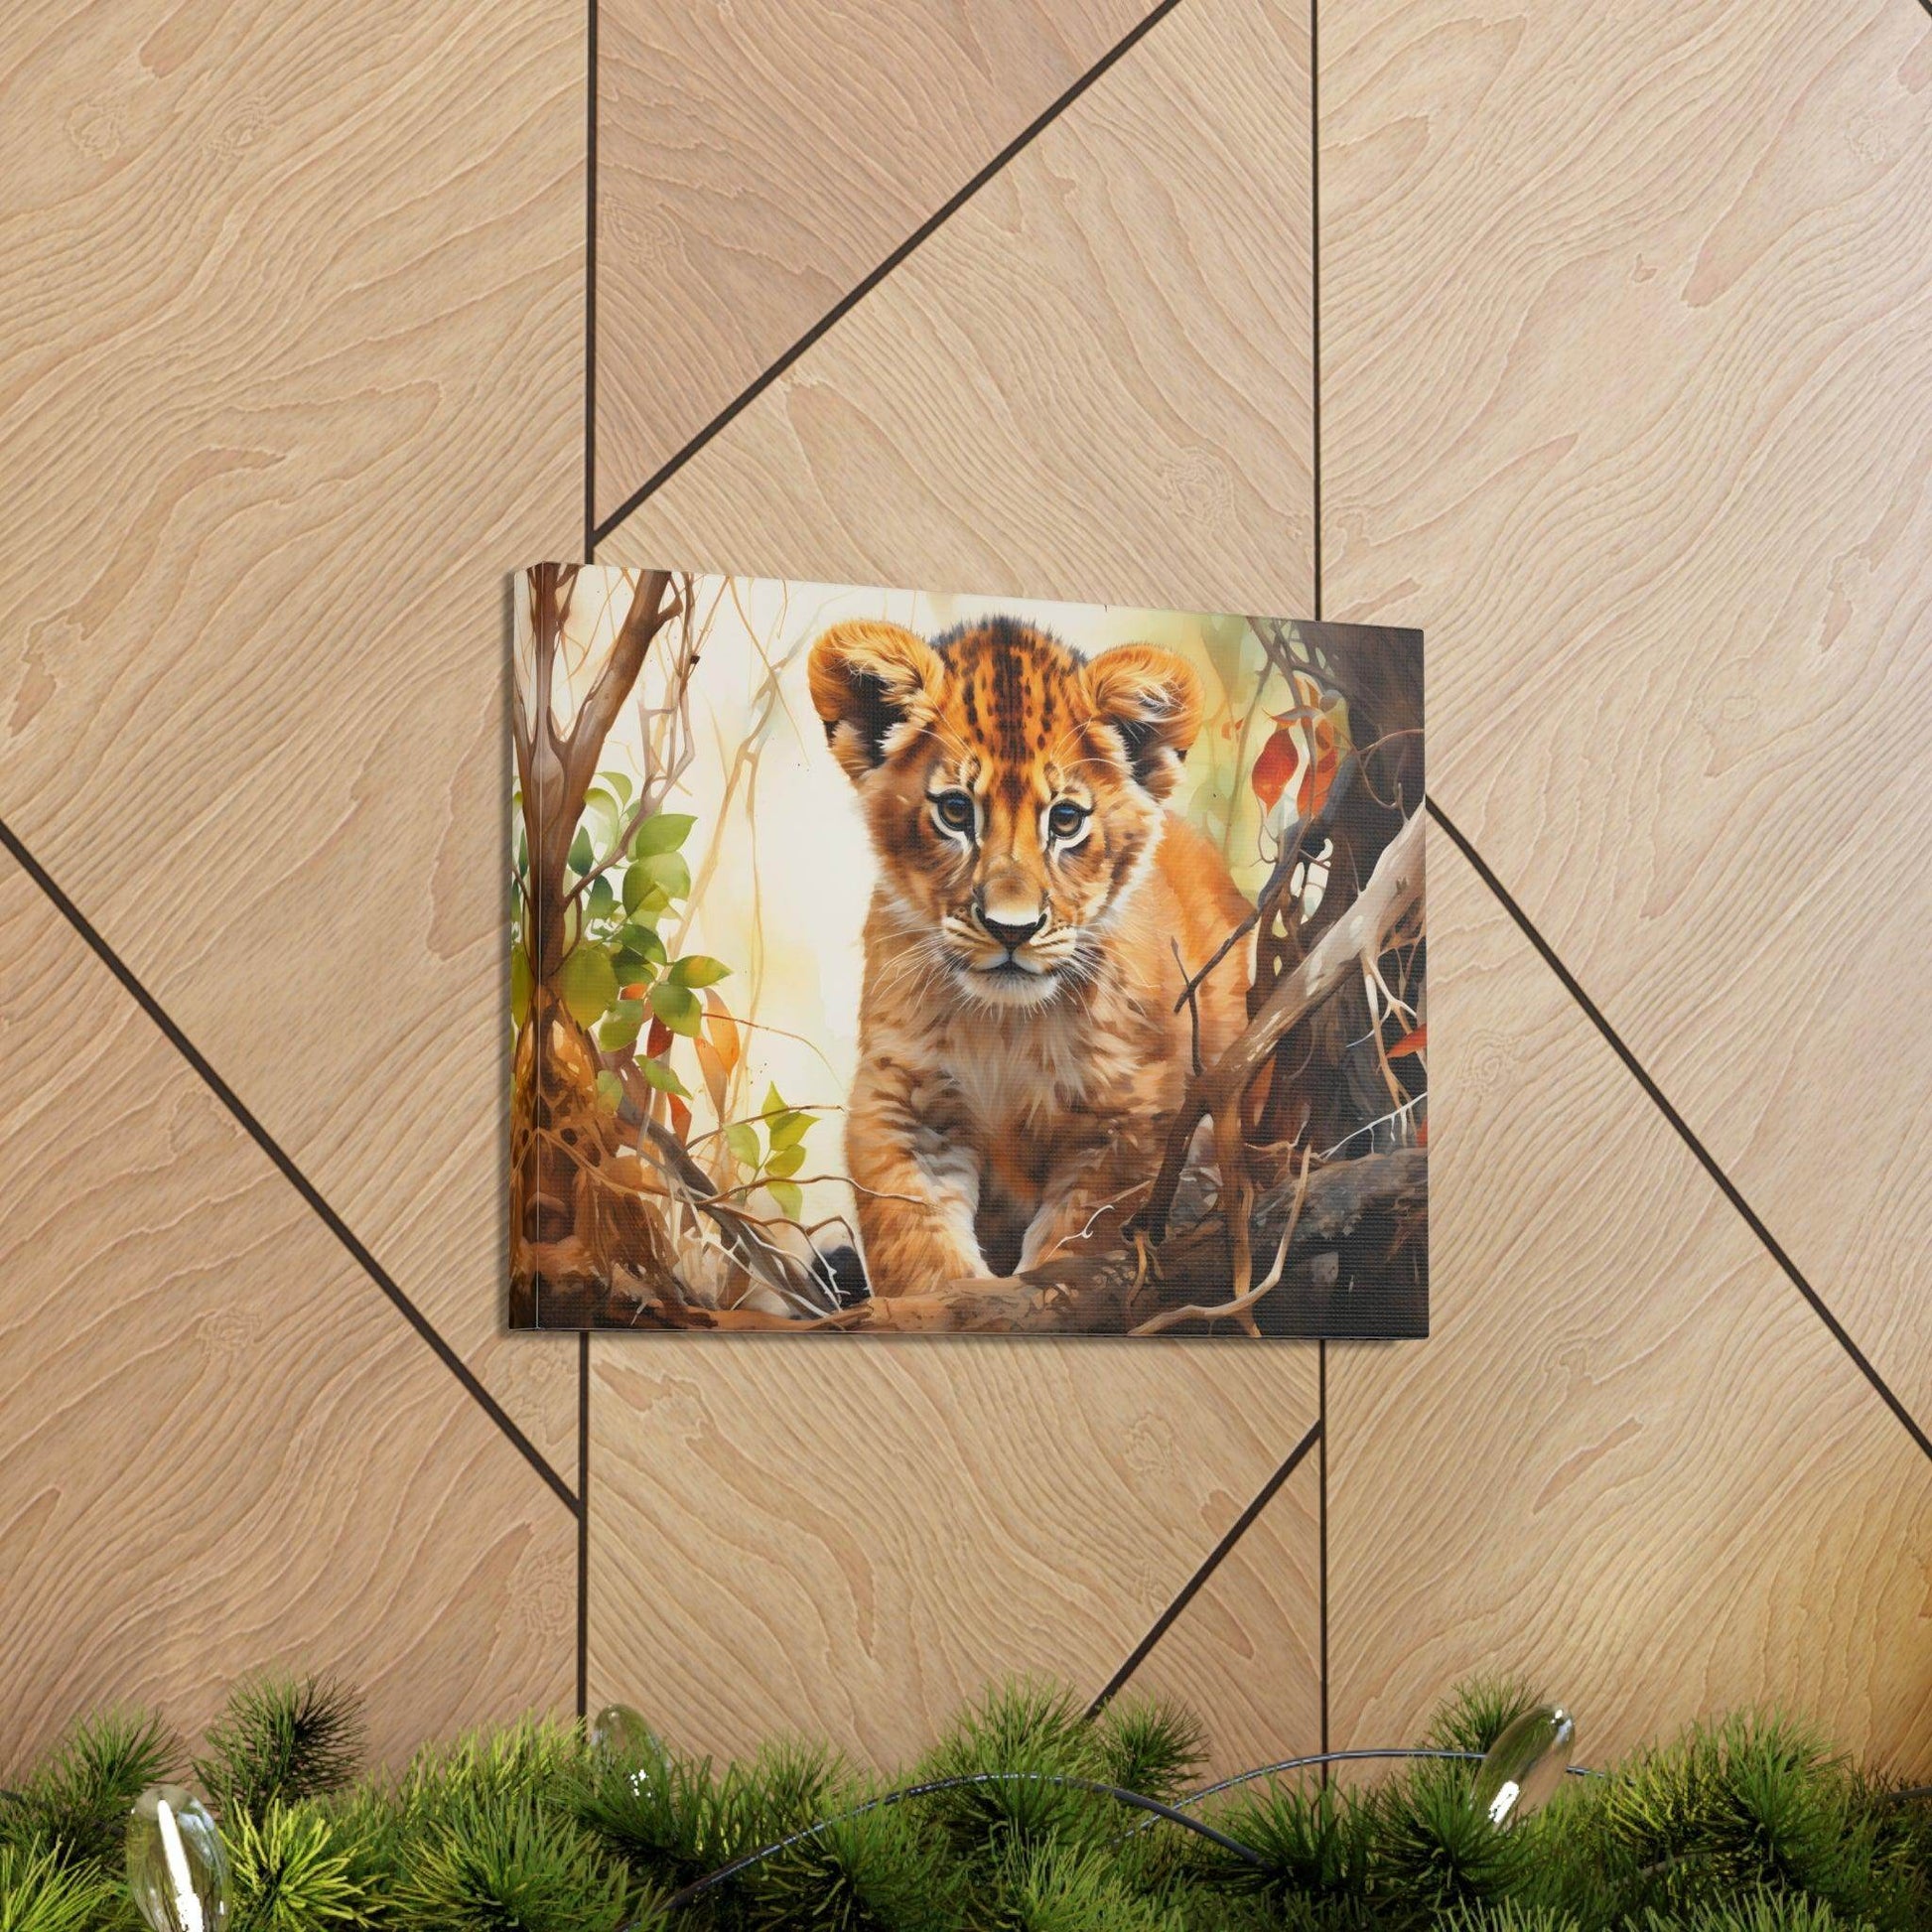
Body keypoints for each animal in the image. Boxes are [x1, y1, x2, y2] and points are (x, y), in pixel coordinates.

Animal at [807, 615, 1255, 1294]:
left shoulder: (1130, 1117)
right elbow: (914, 1241)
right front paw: (951, 1299)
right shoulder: (902, 1101)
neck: (1005, 1027)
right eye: (956, 811)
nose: (1010, 929)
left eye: (1066, 820)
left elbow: (1081, 1240)